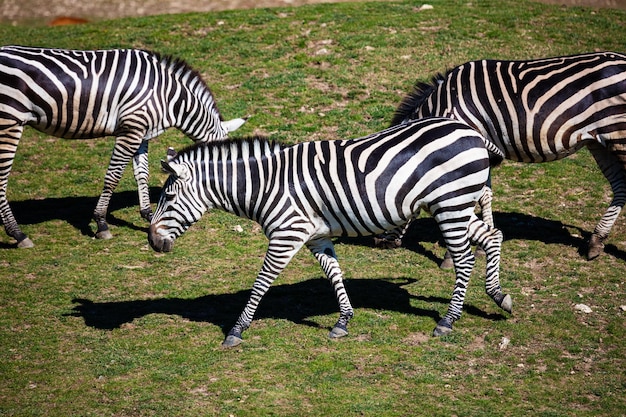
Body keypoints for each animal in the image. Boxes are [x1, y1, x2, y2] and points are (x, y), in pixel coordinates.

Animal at [0, 45, 246, 247]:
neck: (168, 96)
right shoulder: (130, 130)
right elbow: (113, 176)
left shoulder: (142, 132)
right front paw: (101, 223)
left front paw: (148, 214)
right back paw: (18, 234)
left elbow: (142, 173)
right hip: (9, 121)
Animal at [147, 118, 508, 348]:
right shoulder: (315, 236)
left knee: (465, 259)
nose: (151, 240)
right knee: (493, 236)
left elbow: (261, 282)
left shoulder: (287, 234)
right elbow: (333, 272)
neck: (266, 185)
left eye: (169, 197)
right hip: (452, 205)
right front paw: (343, 321)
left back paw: (448, 320)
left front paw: (236, 330)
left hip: (451, 203)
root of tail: (471, 131)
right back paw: (499, 295)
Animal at [376, 50, 624, 262]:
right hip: (598, 141)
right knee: (619, 185)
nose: (380, 243)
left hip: (617, 135)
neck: (444, 109)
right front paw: (480, 245)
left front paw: (453, 253)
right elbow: (484, 195)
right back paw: (595, 242)